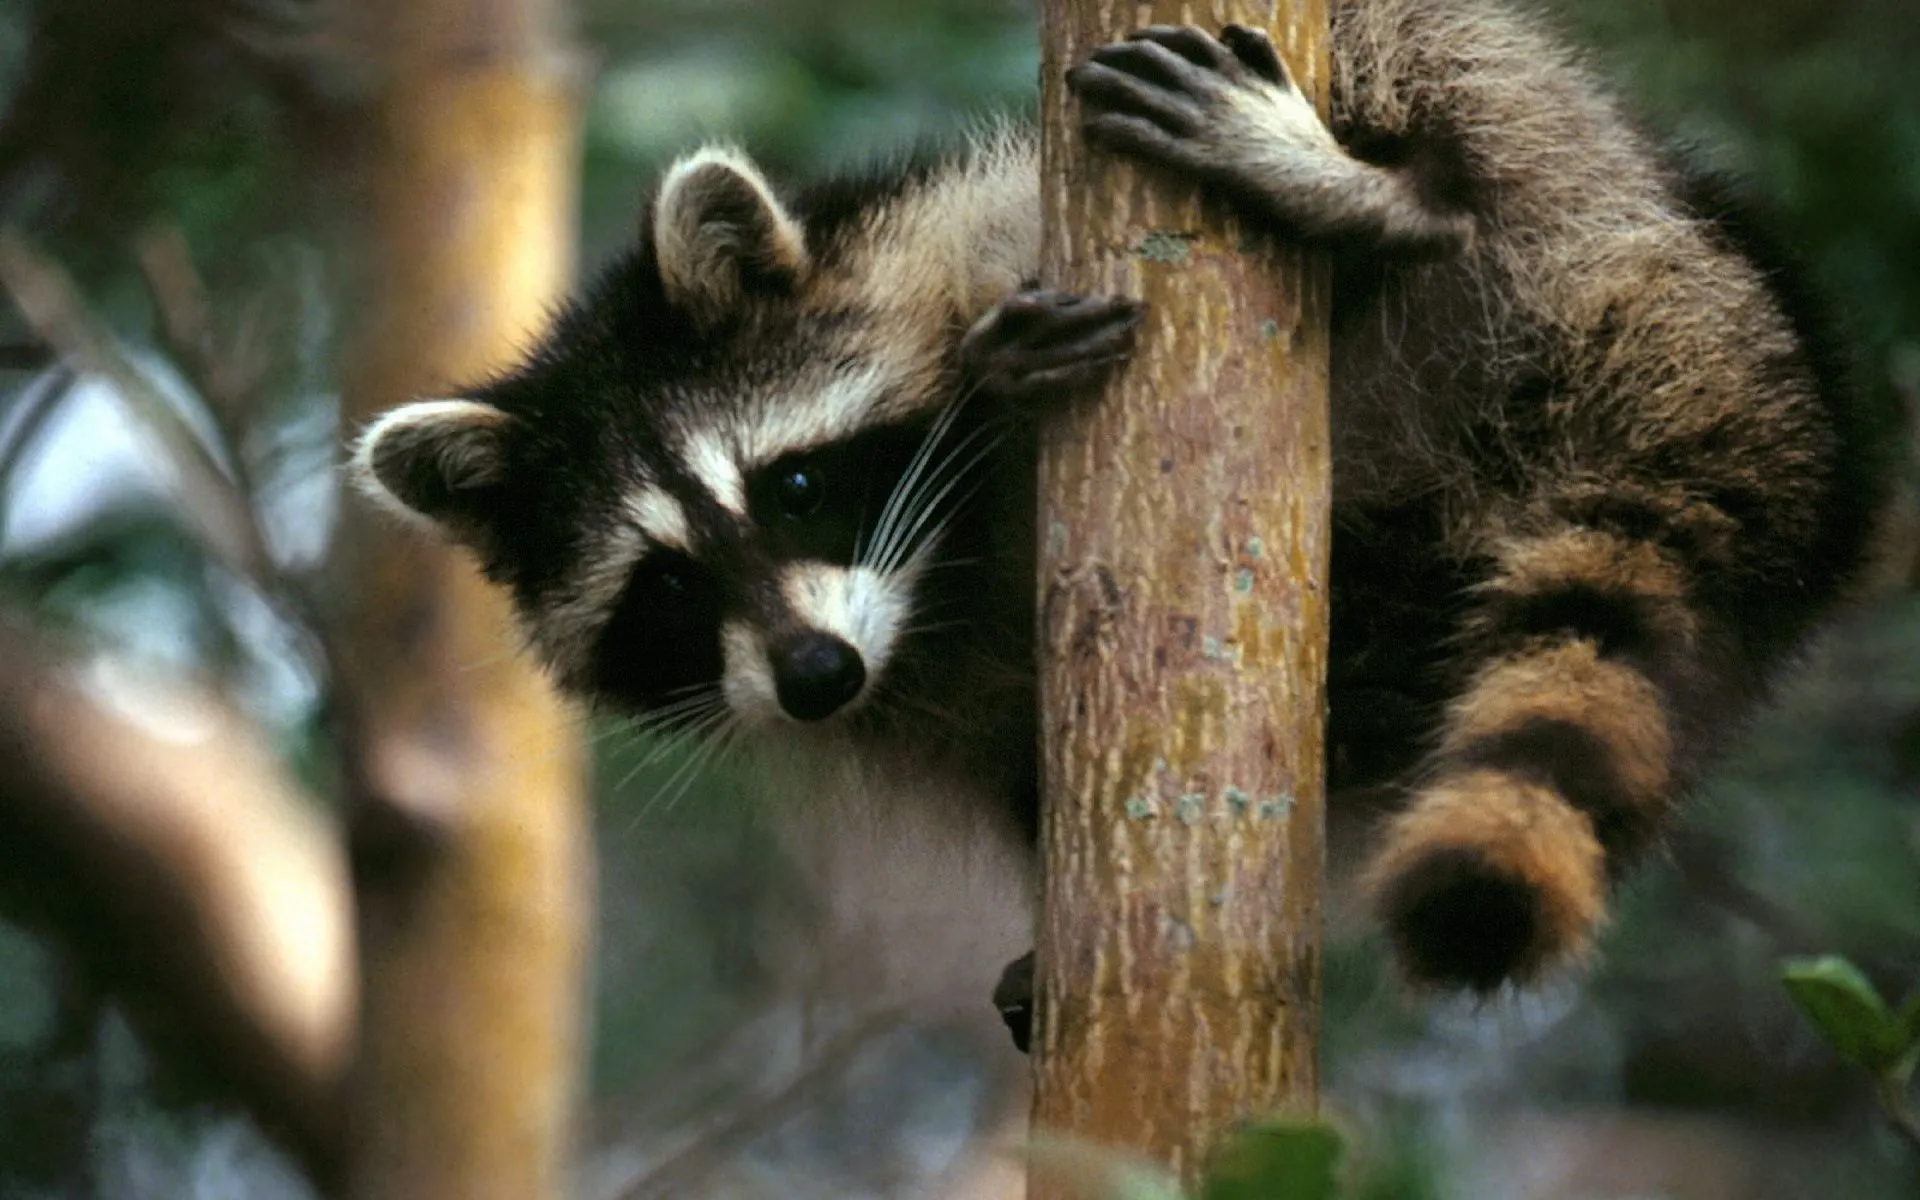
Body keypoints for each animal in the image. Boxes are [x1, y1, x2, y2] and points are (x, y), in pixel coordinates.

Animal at [351, 1, 1896, 1003]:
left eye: (791, 484)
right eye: (666, 585)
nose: (813, 675)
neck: (933, 590)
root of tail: (1744, 361)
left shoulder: (968, 222)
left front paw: (990, 389)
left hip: (1581, 204)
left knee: (1448, 82)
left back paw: (1390, 202)